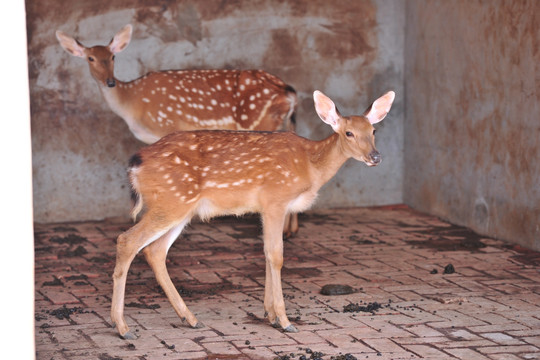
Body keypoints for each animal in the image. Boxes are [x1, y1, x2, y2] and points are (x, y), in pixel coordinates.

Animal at [110, 88, 396, 338]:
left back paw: (189, 318)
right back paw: (123, 327)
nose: (376, 156)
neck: (311, 166)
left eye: (373, 130)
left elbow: (266, 254)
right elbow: (277, 256)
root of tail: (135, 164)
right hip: (171, 201)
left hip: (181, 209)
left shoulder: (265, 207)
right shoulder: (275, 199)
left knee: (155, 251)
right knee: (128, 241)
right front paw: (285, 320)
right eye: (348, 133)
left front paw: (269, 315)